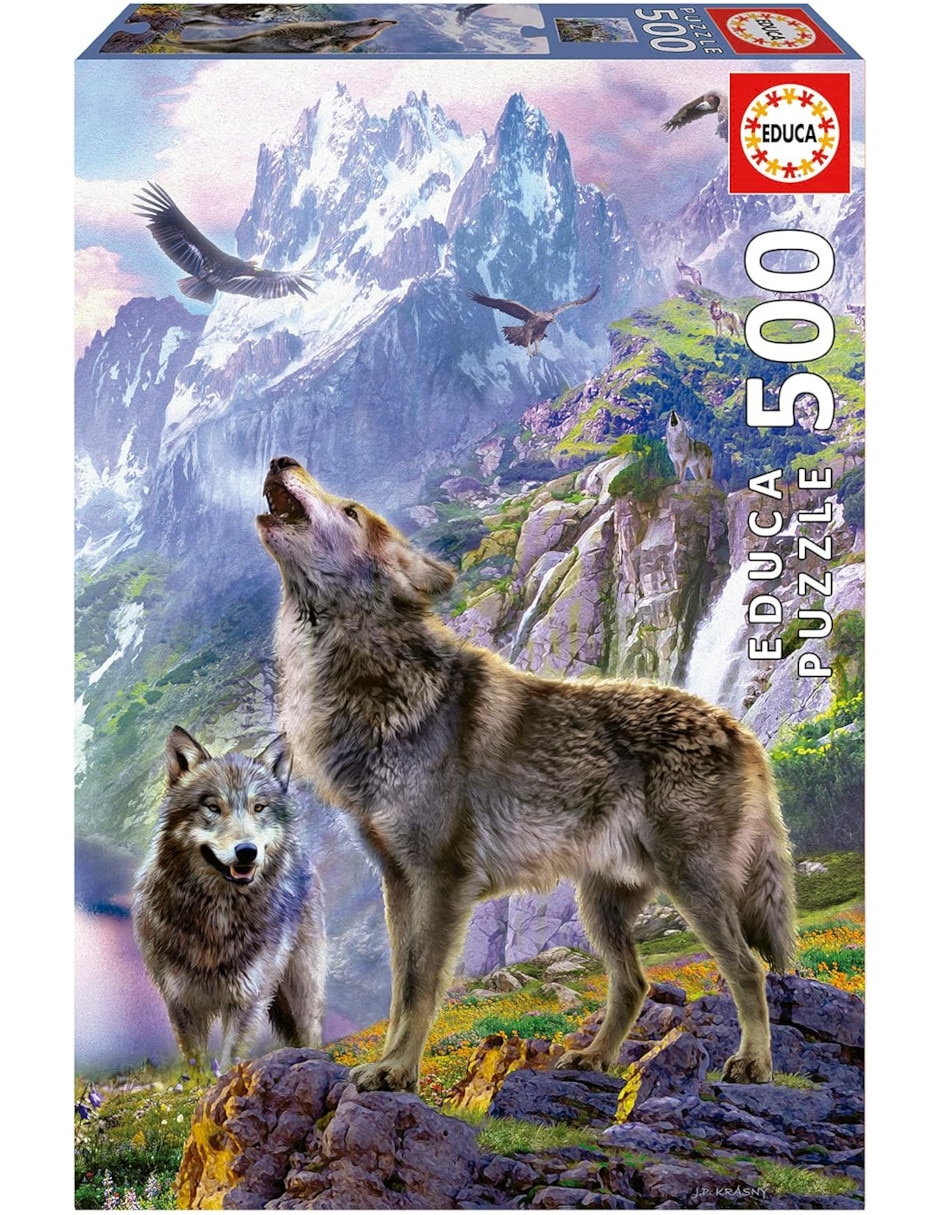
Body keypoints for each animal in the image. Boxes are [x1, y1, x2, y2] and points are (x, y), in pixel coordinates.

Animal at [132, 727, 325, 1068]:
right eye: (213, 807)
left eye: (258, 808)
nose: (247, 851)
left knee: (311, 1031)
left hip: (299, 988)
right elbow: (196, 1064)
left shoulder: (248, 998)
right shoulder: (181, 1001)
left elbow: (230, 1059)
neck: (218, 916)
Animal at [258, 457, 795, 1093]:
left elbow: (421, 987)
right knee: (634, 982)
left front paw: (397, 1070)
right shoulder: (398, 880)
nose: (283, 461)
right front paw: (391, 1066)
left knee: (748, 969)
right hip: (602, 905)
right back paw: (595, 1057)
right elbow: (399, 989)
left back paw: (754, 1063)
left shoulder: (442, 879)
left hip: (692, 887)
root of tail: (741, 730)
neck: (373, 684)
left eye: (349, 511)